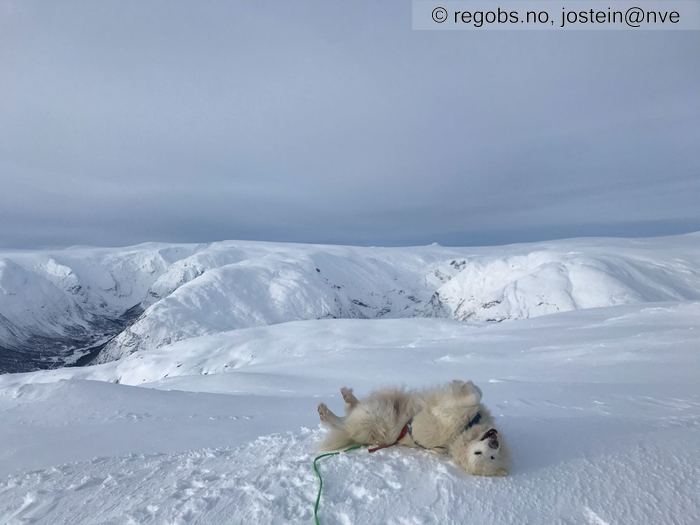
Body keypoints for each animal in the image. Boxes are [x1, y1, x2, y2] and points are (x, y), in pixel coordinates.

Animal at [318, 380, 508, 474]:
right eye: (479, 453)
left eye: (490, 457)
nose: (494, 443)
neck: (461, 432)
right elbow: (477, 394)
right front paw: (464, 383)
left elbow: (472, 396)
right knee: (351, 410)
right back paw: (347, 395)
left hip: (373, 415)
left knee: (344, 422)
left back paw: (326, 412)